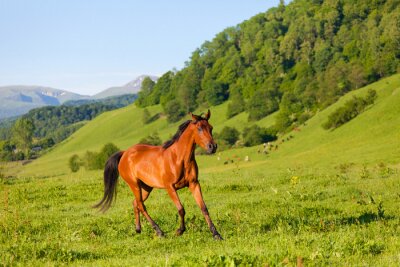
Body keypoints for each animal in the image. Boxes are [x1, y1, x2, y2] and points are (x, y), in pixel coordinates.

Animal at [94, 109, 222, 241]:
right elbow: (181, 209)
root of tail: (125, 153)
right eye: (199, 128)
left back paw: (138, 229)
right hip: (134, 185)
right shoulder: (170, 187)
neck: (179, 158)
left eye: (210, 128)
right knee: (141, 205)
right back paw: (159, 231)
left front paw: (216, 234)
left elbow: (204, 208)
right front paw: (179, 231)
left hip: (146, 188)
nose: (212, 147)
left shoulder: (194, 184)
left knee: (135, 203)